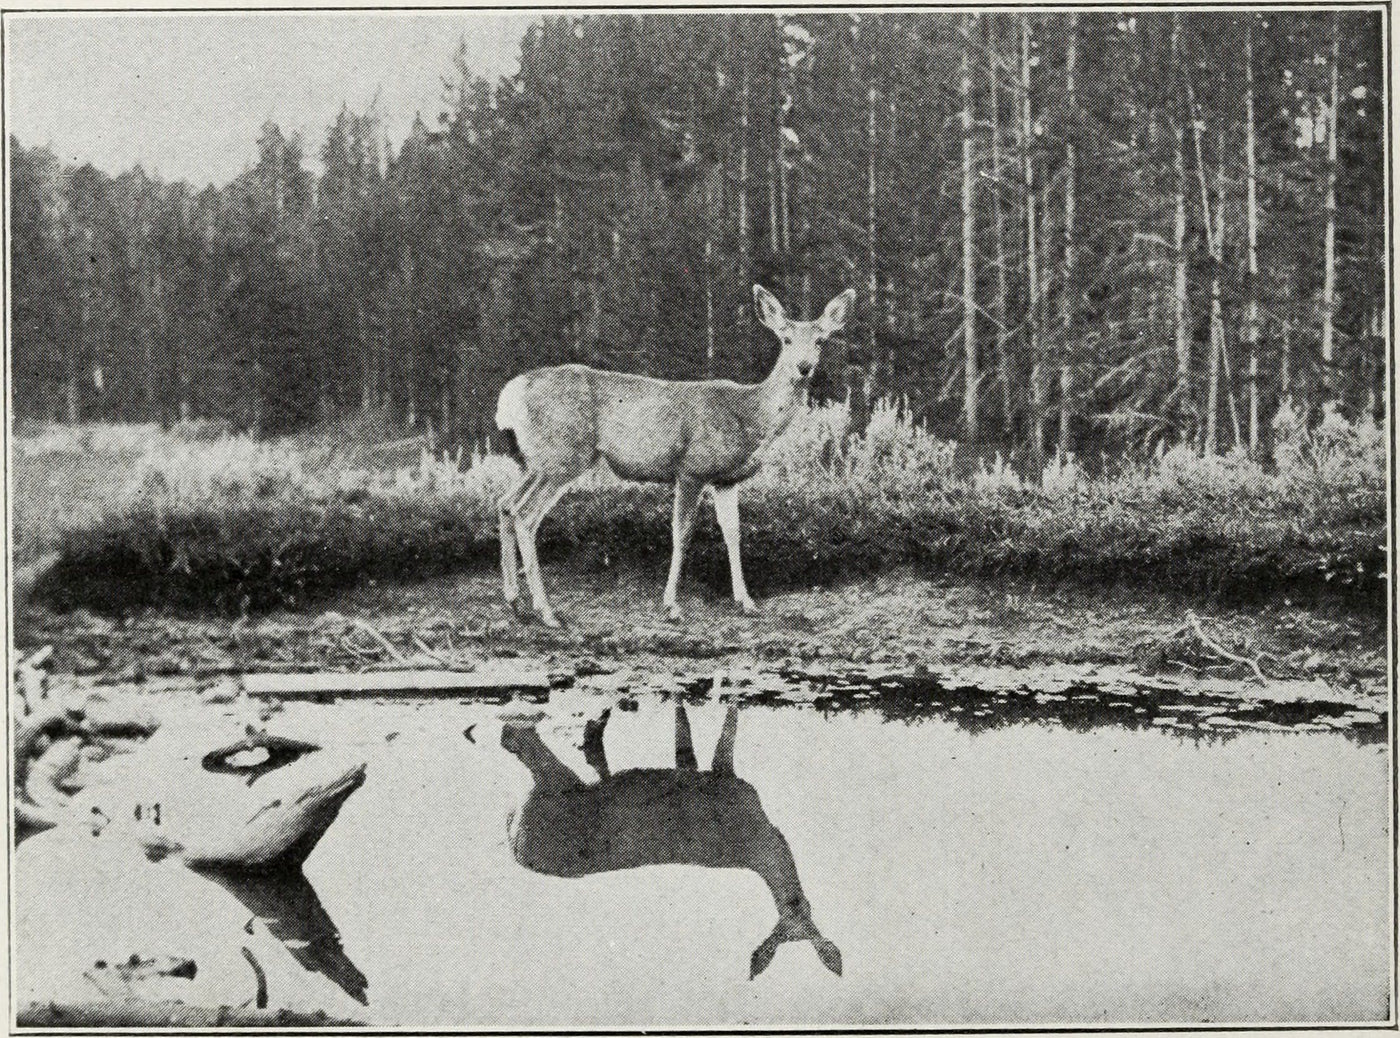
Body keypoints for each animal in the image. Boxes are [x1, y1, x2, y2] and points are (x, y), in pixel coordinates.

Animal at [495, 285, 855, 627]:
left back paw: (515, 603)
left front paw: (746, 602)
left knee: (505, 504)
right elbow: (681, 533)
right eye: (786, 338)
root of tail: (511, 394)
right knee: (525, 515)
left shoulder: (727, 480)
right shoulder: (691, 469)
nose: (804, 367)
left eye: (821, 340)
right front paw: (671, 605)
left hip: (534, 460)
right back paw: (546, 612)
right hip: (564, 454)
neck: (749, 416)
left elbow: (733, 532)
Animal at [501, 702, 842, 980]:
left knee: (524, 747)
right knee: (521, 744)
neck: (763, 843)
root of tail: (516, 847)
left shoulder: (711, 771)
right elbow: (717, 726)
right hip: (560, 786)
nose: (794, 910)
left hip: (557, 787)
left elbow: (690, 735)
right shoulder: (723, 776)